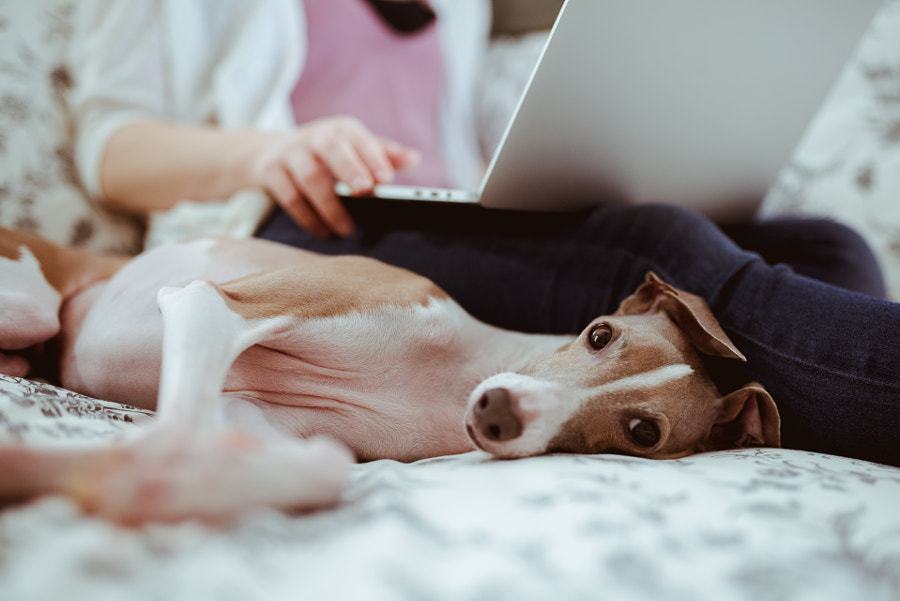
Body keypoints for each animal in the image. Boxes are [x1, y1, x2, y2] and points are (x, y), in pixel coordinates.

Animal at [0, 227, 776, 524]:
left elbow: (320, 466)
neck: (441, 382)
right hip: (27, 302)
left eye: (643, 431)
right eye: (599, 333)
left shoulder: (250, 415)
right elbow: (181, 415)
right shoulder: (214, 302)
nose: (496, 409)